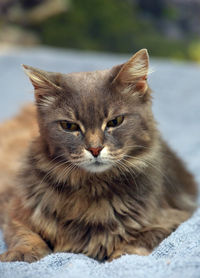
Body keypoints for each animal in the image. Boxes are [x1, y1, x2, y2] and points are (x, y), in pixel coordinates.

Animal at [0, 48, 197, 262]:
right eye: (69, 126)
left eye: (115, 122)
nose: (95, 149)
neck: (91, 187)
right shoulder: (16, 209)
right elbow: (25, 234)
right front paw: (22, 253)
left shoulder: (176, 216)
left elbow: (143, 237)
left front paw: (121, 254)